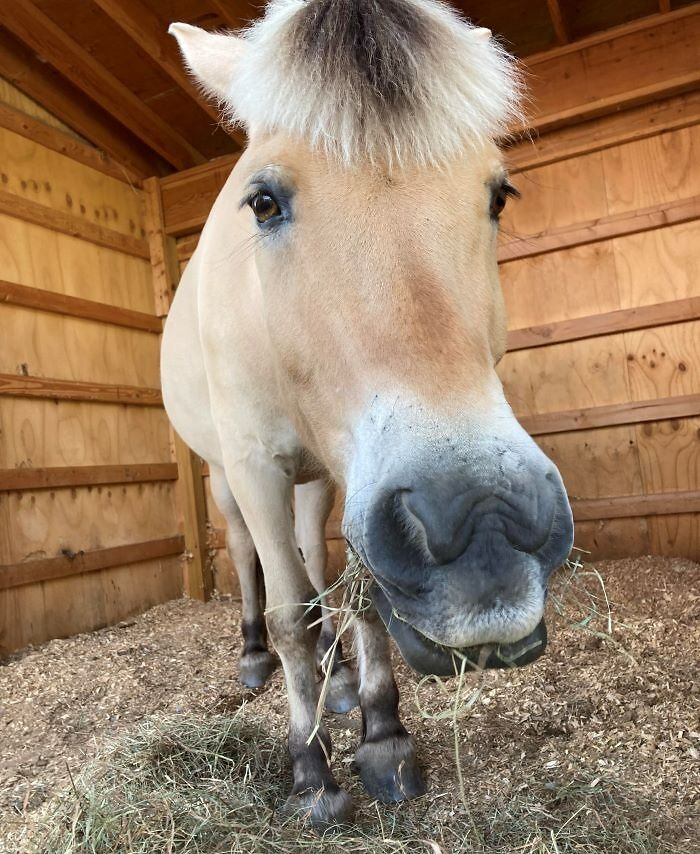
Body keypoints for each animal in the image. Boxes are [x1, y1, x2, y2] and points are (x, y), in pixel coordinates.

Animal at [163, 0, 574, 826]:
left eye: (498, 195)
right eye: (263, 202)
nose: (482, 528)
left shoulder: (353, 472)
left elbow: (357, 595)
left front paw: (383, 735)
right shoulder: (255, 465)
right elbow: (289, 609)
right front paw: (312, 773)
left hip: (321, 475)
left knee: (313, 559)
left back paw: (340, 678)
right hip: (225, 474)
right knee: (253, 562)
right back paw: (255, 657)